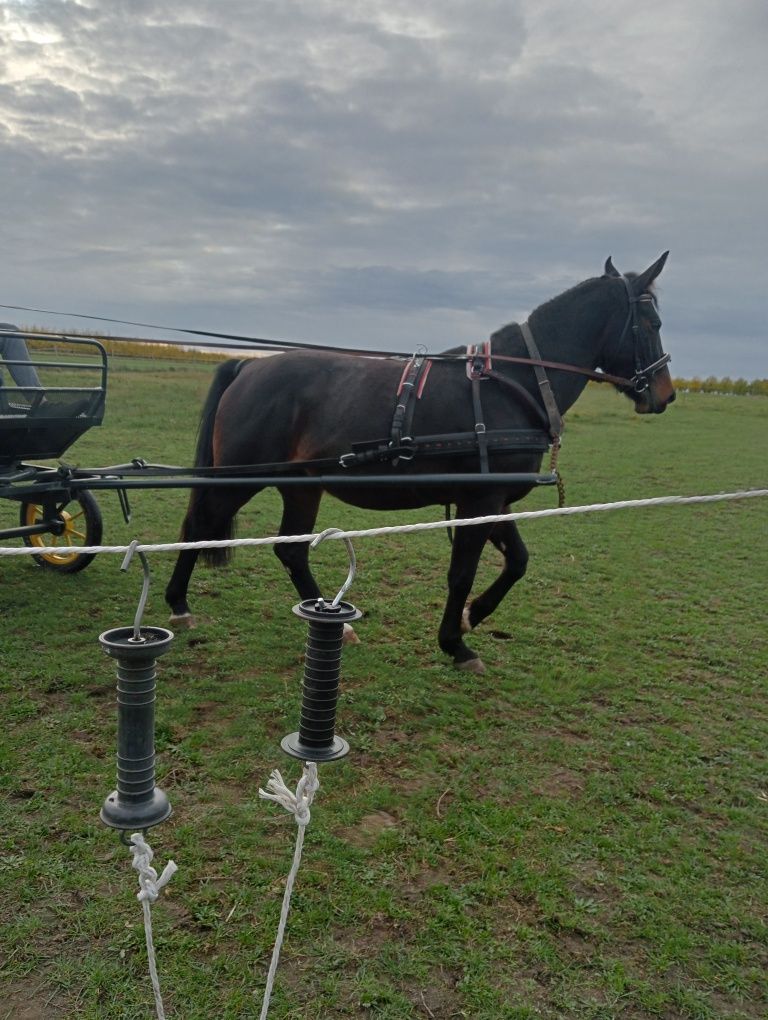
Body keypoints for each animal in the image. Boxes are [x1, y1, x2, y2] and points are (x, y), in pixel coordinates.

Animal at [166, 250, 669, 673]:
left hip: (302, 485)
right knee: (199, 526)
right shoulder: (478, 501)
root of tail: (249, 366)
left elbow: (518, 561)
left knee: (290, 550)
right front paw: (456, 643)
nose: (666, 393)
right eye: (651, 322)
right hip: (241, 477)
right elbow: (461, 574)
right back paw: (179, 605)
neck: (513, 383)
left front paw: (472, 616)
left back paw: (333, 622)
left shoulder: (495, 499)